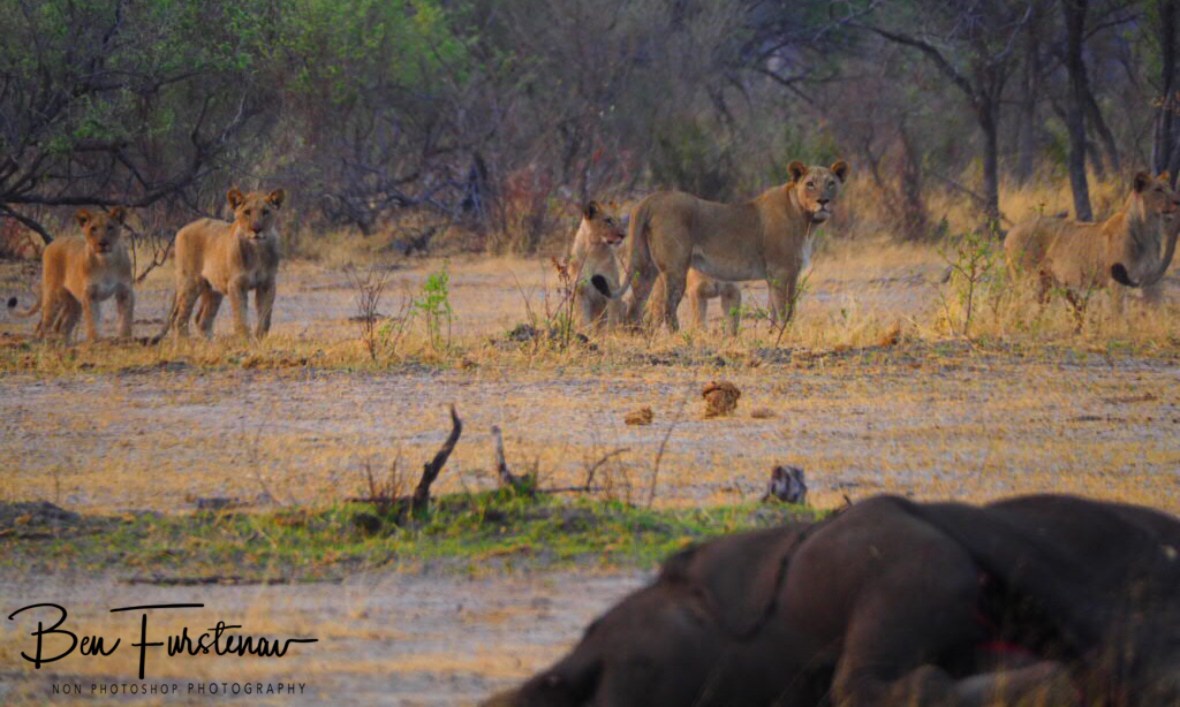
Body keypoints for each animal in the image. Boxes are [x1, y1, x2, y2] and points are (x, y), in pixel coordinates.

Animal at [7, 207, 134, 343]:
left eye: (110, 227)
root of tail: (53, 242)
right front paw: (94, 340)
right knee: (43, 325)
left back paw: (65, 343)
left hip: (74, 303)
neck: (106, 262)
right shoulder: (90, 294)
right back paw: (39, 341)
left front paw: (125, 339)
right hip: (53, 296)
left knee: (62, 326)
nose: (103, 243)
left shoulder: (125, 291)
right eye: (93, 228)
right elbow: (92, 320)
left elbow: (126, 318)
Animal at [154, 187, 285, 341]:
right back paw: (186, 343)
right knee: (180, 318)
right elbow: (240, 316)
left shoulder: (267, 284)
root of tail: (182, 229)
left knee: (202, 320)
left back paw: (209, 343)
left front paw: (260, 340)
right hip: (190, 281)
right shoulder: (236, 284)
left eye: (265, 212)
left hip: (213, 289)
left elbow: (265, 316)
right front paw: (245, 341)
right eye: (247, 212)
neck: (257, 250)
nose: (256, 229)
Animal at [594, 161, 849, 331]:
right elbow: (786, 309)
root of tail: (650, 200)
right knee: (667, 307)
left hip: (646, 265)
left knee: (636, 304)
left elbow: (775, 310)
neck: (806, 220)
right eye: (810, 184)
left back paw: (638, 336)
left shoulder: (774, 275)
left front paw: (773, 335)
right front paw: (785, 335)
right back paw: (678, 338)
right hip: (676, 267)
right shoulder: (783, 271)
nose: (823, 201)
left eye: (831, 183)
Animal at [1004, 171, 1179, 310]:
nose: (1178, 201)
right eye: (1158, 190)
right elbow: (1118, 314)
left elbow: (1153, 310)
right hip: (1028, 279)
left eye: (1170, 188)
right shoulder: (1116, 281)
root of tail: (1010, 233)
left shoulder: (1151, 281)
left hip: (1045, 282)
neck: (1150, 229)